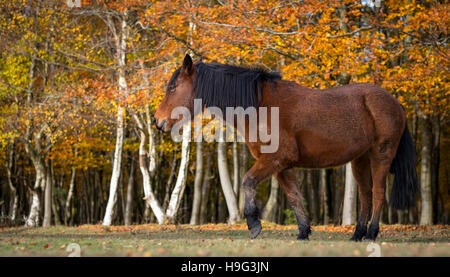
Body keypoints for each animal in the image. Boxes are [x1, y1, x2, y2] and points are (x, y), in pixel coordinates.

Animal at [155, 54, 418, 239]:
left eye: (172, 87)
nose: (158, 122)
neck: (260, 106)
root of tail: (395, 103)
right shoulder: (281, 166)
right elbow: (293, 196)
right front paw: (303, 231)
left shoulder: (276, 159)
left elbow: (247, 181)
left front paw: (254, 224)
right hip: (359, 159)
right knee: (365, 193)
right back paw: (357, 234)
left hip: (381, 155)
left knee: (378, 193)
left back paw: (371, 233)